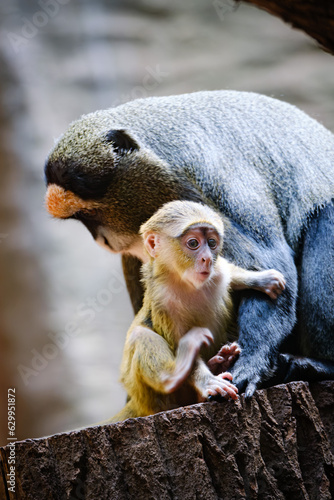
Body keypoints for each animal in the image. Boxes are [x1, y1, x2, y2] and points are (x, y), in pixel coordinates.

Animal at [44, 89, 334, 394]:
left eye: (90, 214)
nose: (103, 239)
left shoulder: (209, 183)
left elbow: (267, 258)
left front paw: (251, 361)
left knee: (325, 216)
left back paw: (315, 365)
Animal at [110, 199, 284, 422]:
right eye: (193, 243)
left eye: (211, 243)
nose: (207, 259)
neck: (187, 284)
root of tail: (137, 403)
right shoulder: (164, 300)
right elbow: (176, 340)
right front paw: (206, 380)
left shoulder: (217, 272)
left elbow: (228, 273)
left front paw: (259, 279)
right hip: (151, 397)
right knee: (140, 335)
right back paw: (174, 375)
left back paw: (219, 362)